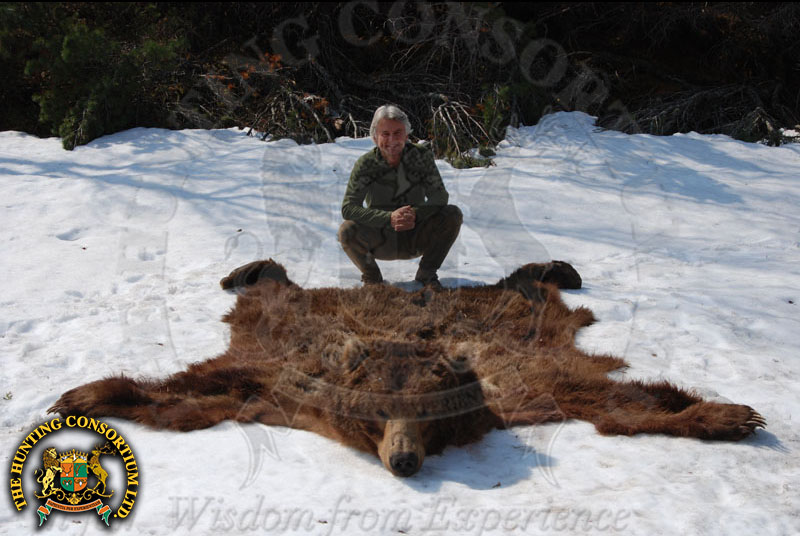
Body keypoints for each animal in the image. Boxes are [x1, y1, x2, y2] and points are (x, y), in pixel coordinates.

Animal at [50, 259, 765, 477]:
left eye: (427, 421)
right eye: (375, 421)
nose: (404, 460)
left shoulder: (530, 382)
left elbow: (619, 403)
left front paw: (729, 414)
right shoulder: (276, 384)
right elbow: (188, 396)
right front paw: (83, 393)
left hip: (515, 317)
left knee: (529, 288)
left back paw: (556, 269)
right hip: (277, 323)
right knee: (272, 291)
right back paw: (244, 271)